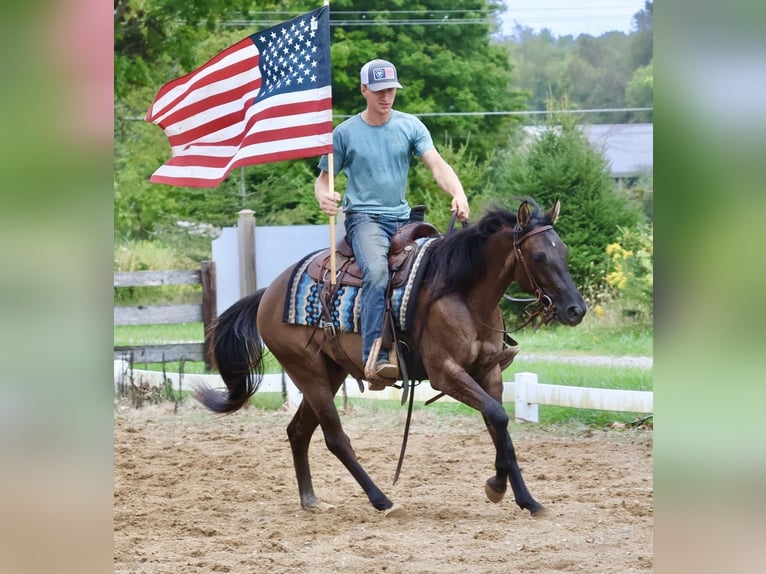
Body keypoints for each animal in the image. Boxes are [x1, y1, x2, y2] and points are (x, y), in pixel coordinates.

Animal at [195, 198, 586, 516]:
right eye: (538, 256)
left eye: (565, 251)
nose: (575, 309)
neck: (461, 293)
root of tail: (268, 293)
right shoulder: (447, 374)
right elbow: (498, 418)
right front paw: (496, 487)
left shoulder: (488, 372)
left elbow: (499, 426)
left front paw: (525, 499)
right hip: (308, 373)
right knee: (334, 439)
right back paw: (381, 500)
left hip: (330, 372)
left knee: (298, 431)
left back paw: (311, 500)